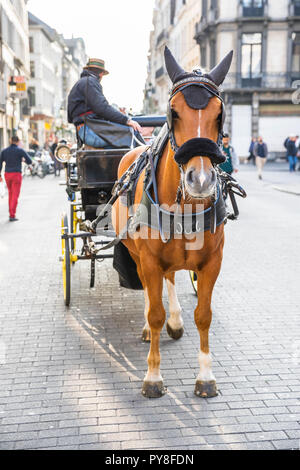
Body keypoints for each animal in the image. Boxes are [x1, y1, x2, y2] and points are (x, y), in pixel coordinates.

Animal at [112, 46, 232, 398]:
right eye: (173, 112)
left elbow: (203, 316)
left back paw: (176, 322)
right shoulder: (150, 260)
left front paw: (205, 376)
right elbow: (154, 313)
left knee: (171, 279)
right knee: (149, 290)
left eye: (220, 114)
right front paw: (153, 377)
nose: (201, 180)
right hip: (137, 255)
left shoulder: (211, 262)